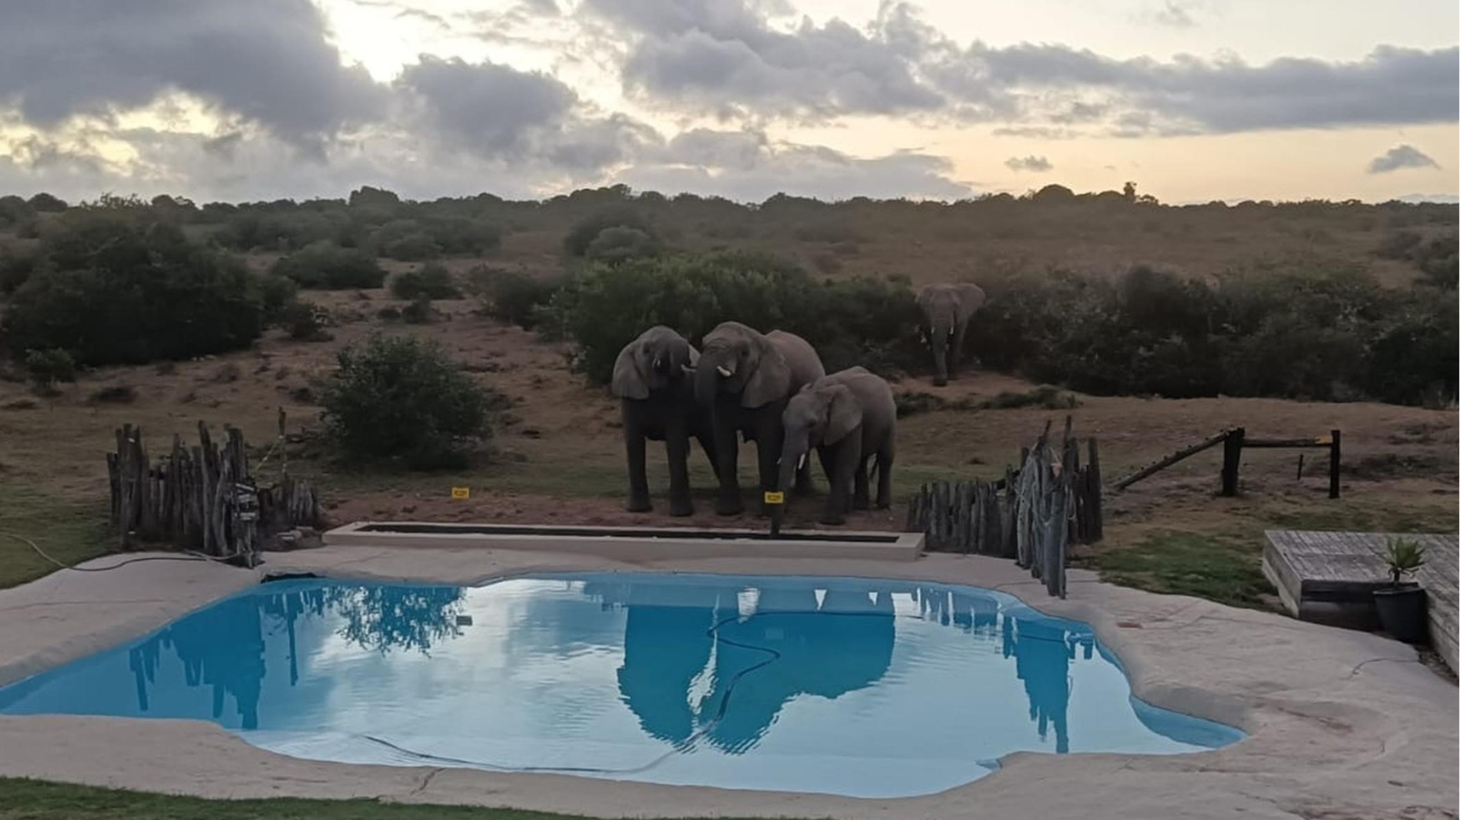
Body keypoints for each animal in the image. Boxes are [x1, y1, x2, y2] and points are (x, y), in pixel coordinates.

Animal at [611, 326, 718, 516]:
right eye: (646, 351)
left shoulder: (678, 395)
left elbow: (675, 441)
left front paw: (681, 514)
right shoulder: (630, 395)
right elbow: (634, 444)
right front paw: (638, 510)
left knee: (712, 441)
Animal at [693, 321, 825, 516]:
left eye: (744, 352)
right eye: (703, 344)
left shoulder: (774, 393)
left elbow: (768, 445)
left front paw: (767, 513)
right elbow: (725, 445)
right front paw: (728, 512)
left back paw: (804, 494)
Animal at [778, 367, 896, 525]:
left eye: (812, 424)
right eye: (783, 422)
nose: (786, 512)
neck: (819, 391)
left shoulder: (853, 421)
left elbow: (845, 461)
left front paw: (831, 521)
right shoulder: (827, 428)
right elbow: (829, 462)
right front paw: (845, 510)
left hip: (891, 421)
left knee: (885, 459)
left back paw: (883, 506)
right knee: (861, 462)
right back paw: (859, 506)